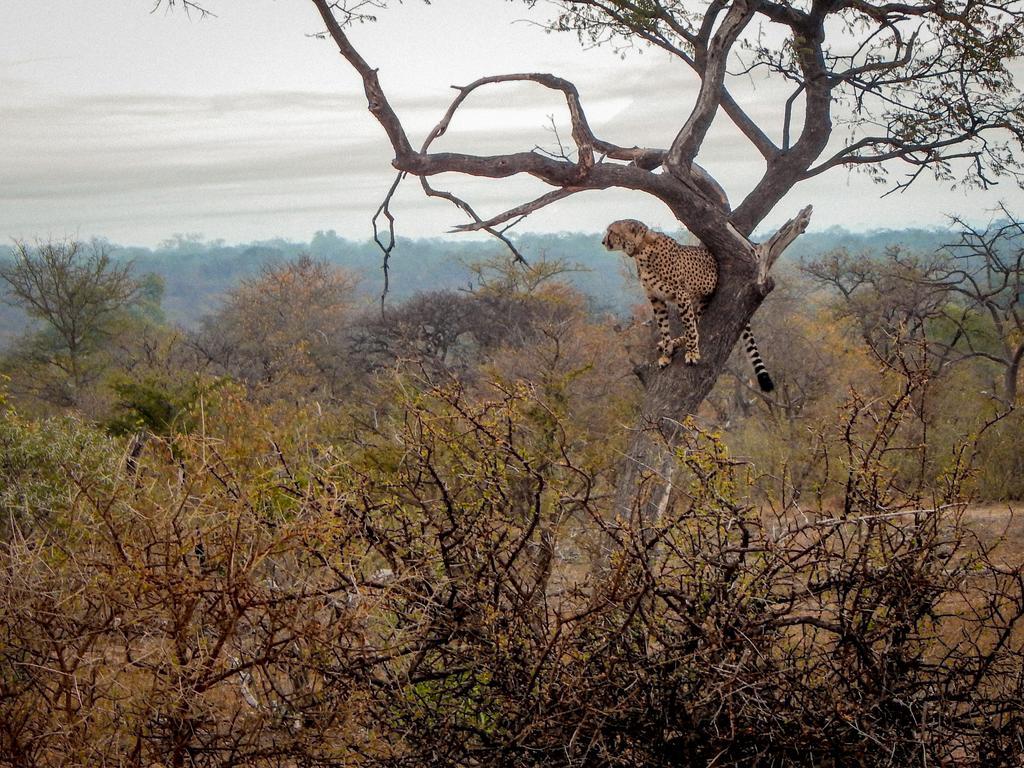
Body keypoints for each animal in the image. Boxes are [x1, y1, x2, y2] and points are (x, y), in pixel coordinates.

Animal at [598, 219, 774, 393]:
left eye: (611, 231)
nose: (603, 242)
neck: (641, 250)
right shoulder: (656, 299)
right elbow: (664, 328)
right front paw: (667, 354)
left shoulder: (681, 294)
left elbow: (689, 328)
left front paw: (692, 353)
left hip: (702, 300)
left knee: (696, 326)